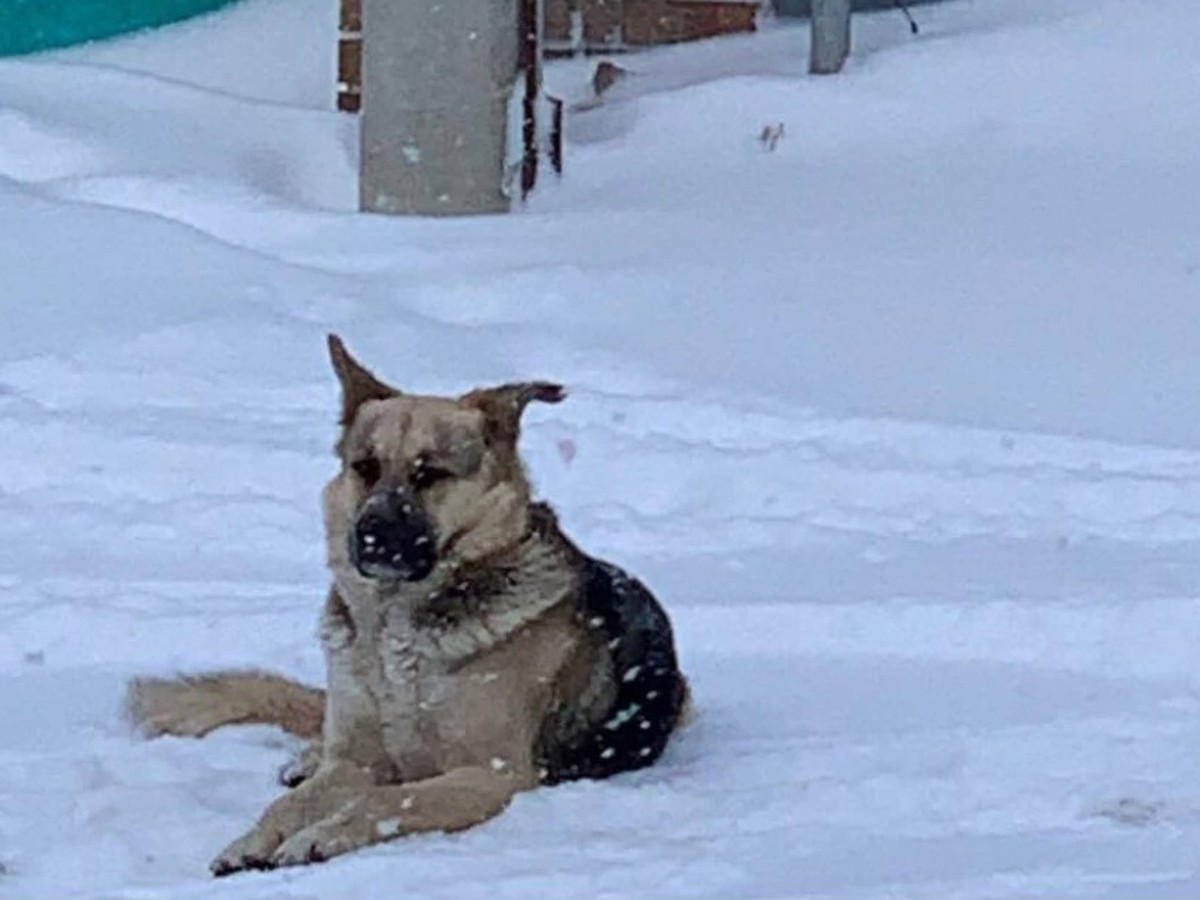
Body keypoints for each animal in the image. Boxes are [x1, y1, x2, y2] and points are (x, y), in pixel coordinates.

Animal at [126, 336, 691, 878]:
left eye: (430, 474)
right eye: (365, 467)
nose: (372, 535)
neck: (393, 629)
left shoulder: (491, 774)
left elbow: (388, 798)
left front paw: (316, 838)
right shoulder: (355, 760)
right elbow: (290, 805)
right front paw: (253, 840)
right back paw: (305, 758)